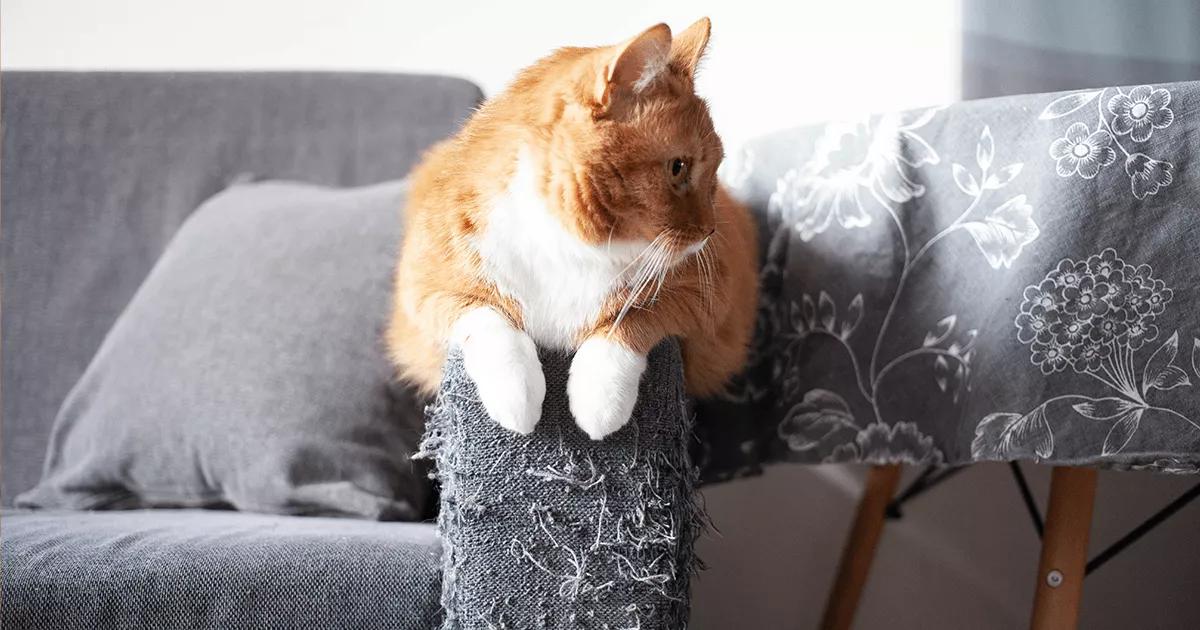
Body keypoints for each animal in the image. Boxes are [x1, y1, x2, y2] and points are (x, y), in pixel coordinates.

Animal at [388, 19, 753, 439]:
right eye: (679, 168)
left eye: (715, 171)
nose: (710, 231)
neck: (567, 244)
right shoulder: (423, 287)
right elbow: (488, 316)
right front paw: (517, 398)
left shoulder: (707, 295)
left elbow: (632, 319)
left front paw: (599, 401)